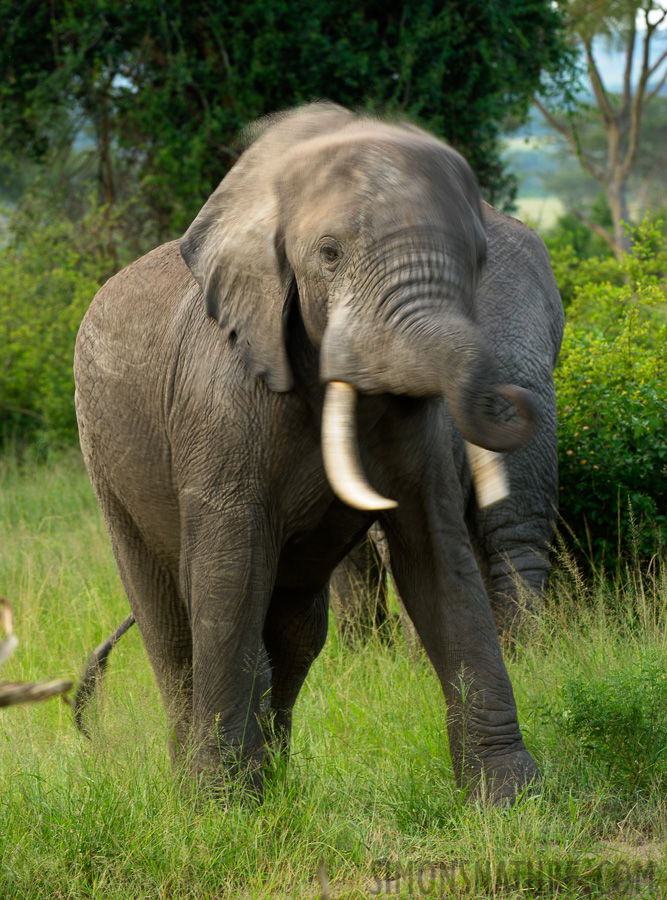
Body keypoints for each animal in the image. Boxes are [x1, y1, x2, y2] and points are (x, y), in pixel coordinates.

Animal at [74, 103, 544, 800]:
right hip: (104, 459)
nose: (513, 398)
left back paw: (271, 778)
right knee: (170, 626)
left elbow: (439, 556)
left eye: (476, 258)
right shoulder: (220, 401)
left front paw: (511, 799)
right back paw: (200, 779)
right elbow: (229, 574)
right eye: (329, 254)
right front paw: (218, 808)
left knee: (295, 634)